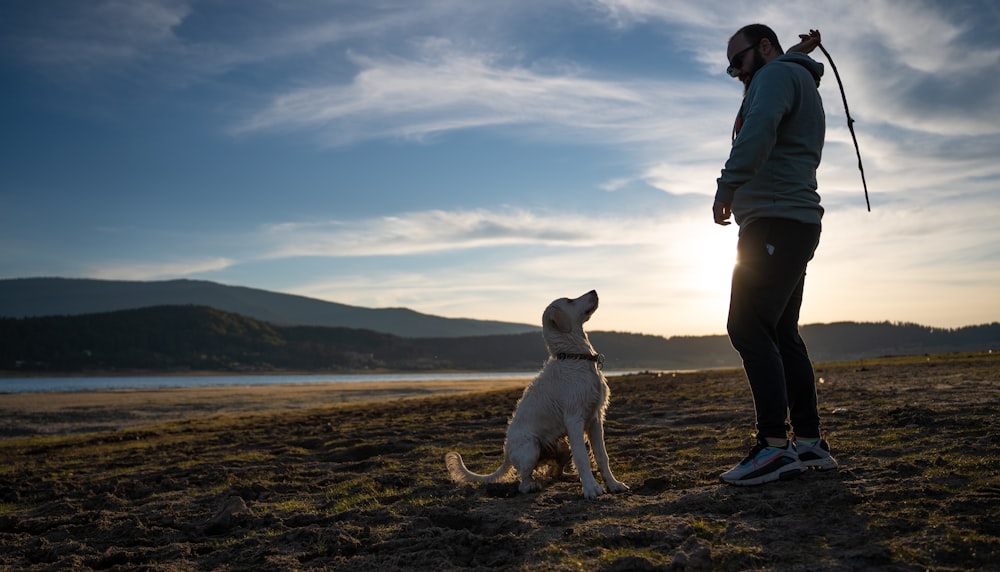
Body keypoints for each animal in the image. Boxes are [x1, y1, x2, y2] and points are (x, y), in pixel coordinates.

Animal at [444, 292, 628, 498]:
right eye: (570, 300)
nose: (595, 291)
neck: (575, 357)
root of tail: (506, 452)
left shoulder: (595, 418)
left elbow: (602, 456)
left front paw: (613, 484)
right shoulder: (574, 419)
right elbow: (582, 458)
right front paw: (591, 488)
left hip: (562, 445)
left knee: (555, 472)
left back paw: (568, 476)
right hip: (530, 447)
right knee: (523, 481)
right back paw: (532, 485)